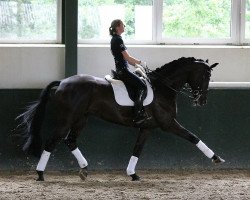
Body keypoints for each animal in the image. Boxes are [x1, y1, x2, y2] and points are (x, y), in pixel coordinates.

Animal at [16, 56, 225, 181]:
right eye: (206, 75)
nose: (202, 101)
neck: (162, 87)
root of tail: (62, 82)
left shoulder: (147, 128)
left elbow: (137, 149)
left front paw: (132, 174)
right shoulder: (168, 124)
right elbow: (193, 137)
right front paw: (216, 158)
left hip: (81, 119)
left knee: (70, 141)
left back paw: (84, 169)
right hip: (66, 119)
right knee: (52, 142)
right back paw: (40, 174)